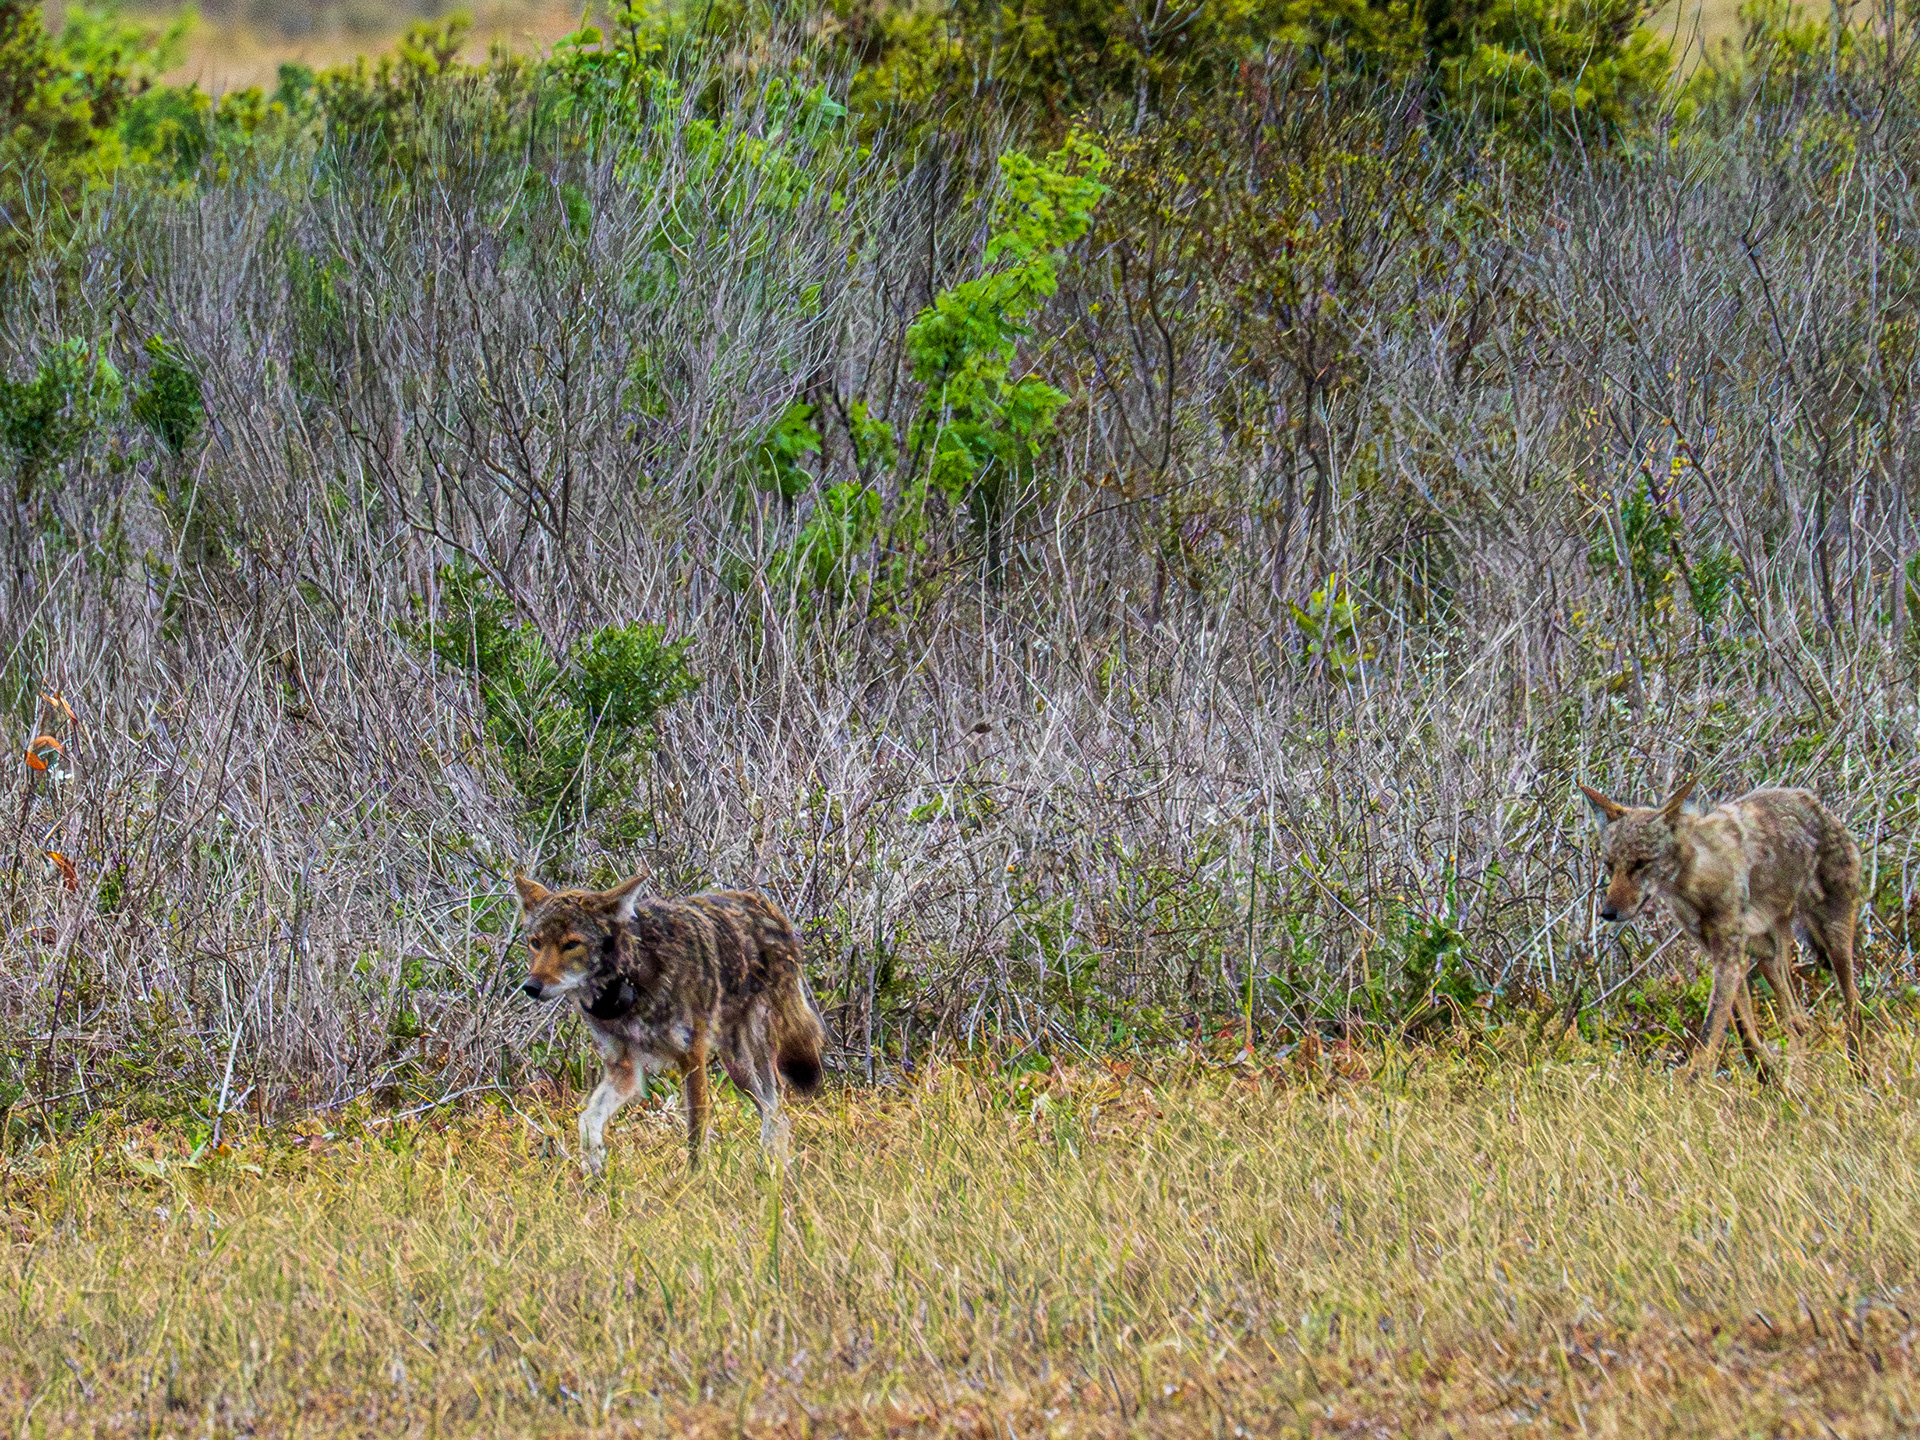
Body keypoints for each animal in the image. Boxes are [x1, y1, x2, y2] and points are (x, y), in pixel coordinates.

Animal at [515, 874, 826, 1174]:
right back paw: (774, 1171)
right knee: (774, 1115)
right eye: (535, 942)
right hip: (738, 1069)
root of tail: (764, 903)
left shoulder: (692, 1058)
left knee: (775, 1111)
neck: (631, 982)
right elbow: (587, 1120)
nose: (531, 987)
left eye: (571, 944)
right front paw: (593, 1166)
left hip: (754, 1056)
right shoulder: (624, 1070)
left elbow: (696, 1132)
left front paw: (695, 1181)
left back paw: (776, 1174)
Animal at [1581, 779, 1864, 1084]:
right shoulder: (1722, 956)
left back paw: (1859, 1071)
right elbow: (1746, 1034)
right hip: (1768, 957)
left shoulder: (1730, 959)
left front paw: (1692, 1082)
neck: (1698, 882)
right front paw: (1769, 1077)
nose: (1607, 913)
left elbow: (1710, 1032)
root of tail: (1811, 799)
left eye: (1641, 863)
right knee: (1798, 1021)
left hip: (1833, 939)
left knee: (1853, 1003)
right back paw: (1796, 1077)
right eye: (1610, 865)